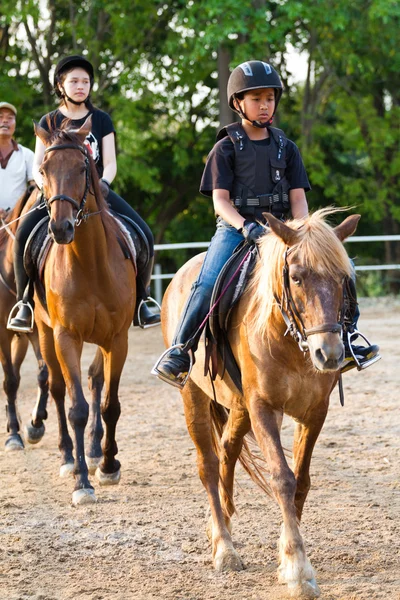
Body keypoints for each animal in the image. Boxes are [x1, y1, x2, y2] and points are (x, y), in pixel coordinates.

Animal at [31, 118, 138, 506]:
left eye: (81, 168)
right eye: (44, 170)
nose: (60, 228)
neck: (89, 263)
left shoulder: (118, 339)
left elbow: (110, 404)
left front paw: (107, 465)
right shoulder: (66, 337)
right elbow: (76, 407)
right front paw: (82, 482)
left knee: (95, 380)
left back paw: (94, 452)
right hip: (44, 333)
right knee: (58, 388)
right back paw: (68, 457)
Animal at [161, 207, 360, 600]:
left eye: (344, 278)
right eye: (296, 277)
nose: (329, 354)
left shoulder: (314, 413)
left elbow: (301, 480)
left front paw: (286, 556)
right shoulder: (264, 409)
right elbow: (282, 478)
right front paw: (298, 569)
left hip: (238, 408)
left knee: (228, 449)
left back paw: (220, 526)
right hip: (194, 396)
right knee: (208, 464)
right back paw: (224, 548)